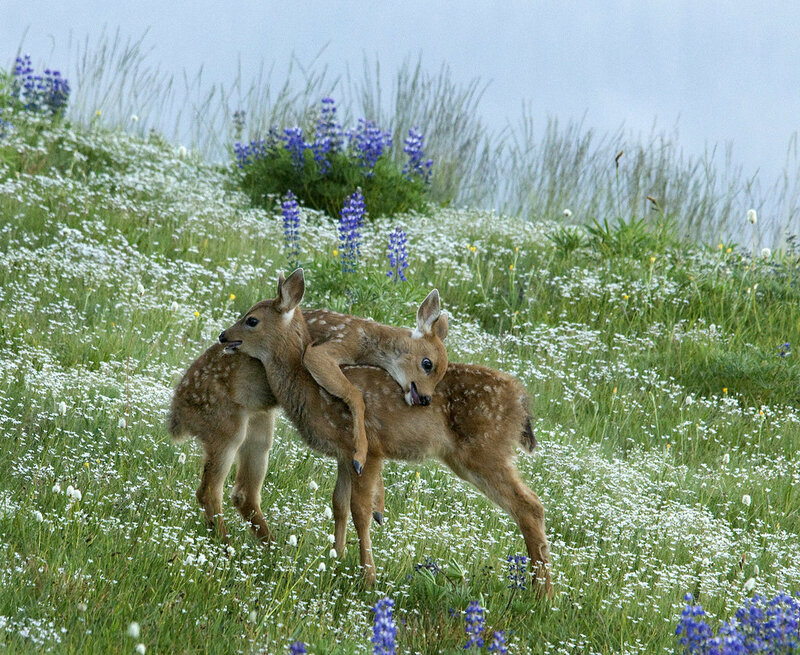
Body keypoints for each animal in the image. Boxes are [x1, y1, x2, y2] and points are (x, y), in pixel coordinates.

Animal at [168, 291, 449, 544]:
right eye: (427, 364)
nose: (426, 399)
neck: (369, 339)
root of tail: (176, 417)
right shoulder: (326, 350)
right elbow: (354, 396)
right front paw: (361, 461)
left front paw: (378, 506)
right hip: (225, 426)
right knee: (210, 490)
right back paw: (228, 544)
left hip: (260, 428)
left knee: (242, 493)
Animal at [217, 268, 553, 598]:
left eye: (252, 320)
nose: (224, 336)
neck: (308, 388)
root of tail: (522, 402)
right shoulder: (344, 456)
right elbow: (338, 504)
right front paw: (337, 560)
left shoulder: (371, 451)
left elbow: (359, 510)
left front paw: (368, 577)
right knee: (531, 506)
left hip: (484, 450)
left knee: (530, 506)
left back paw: (542, 594)